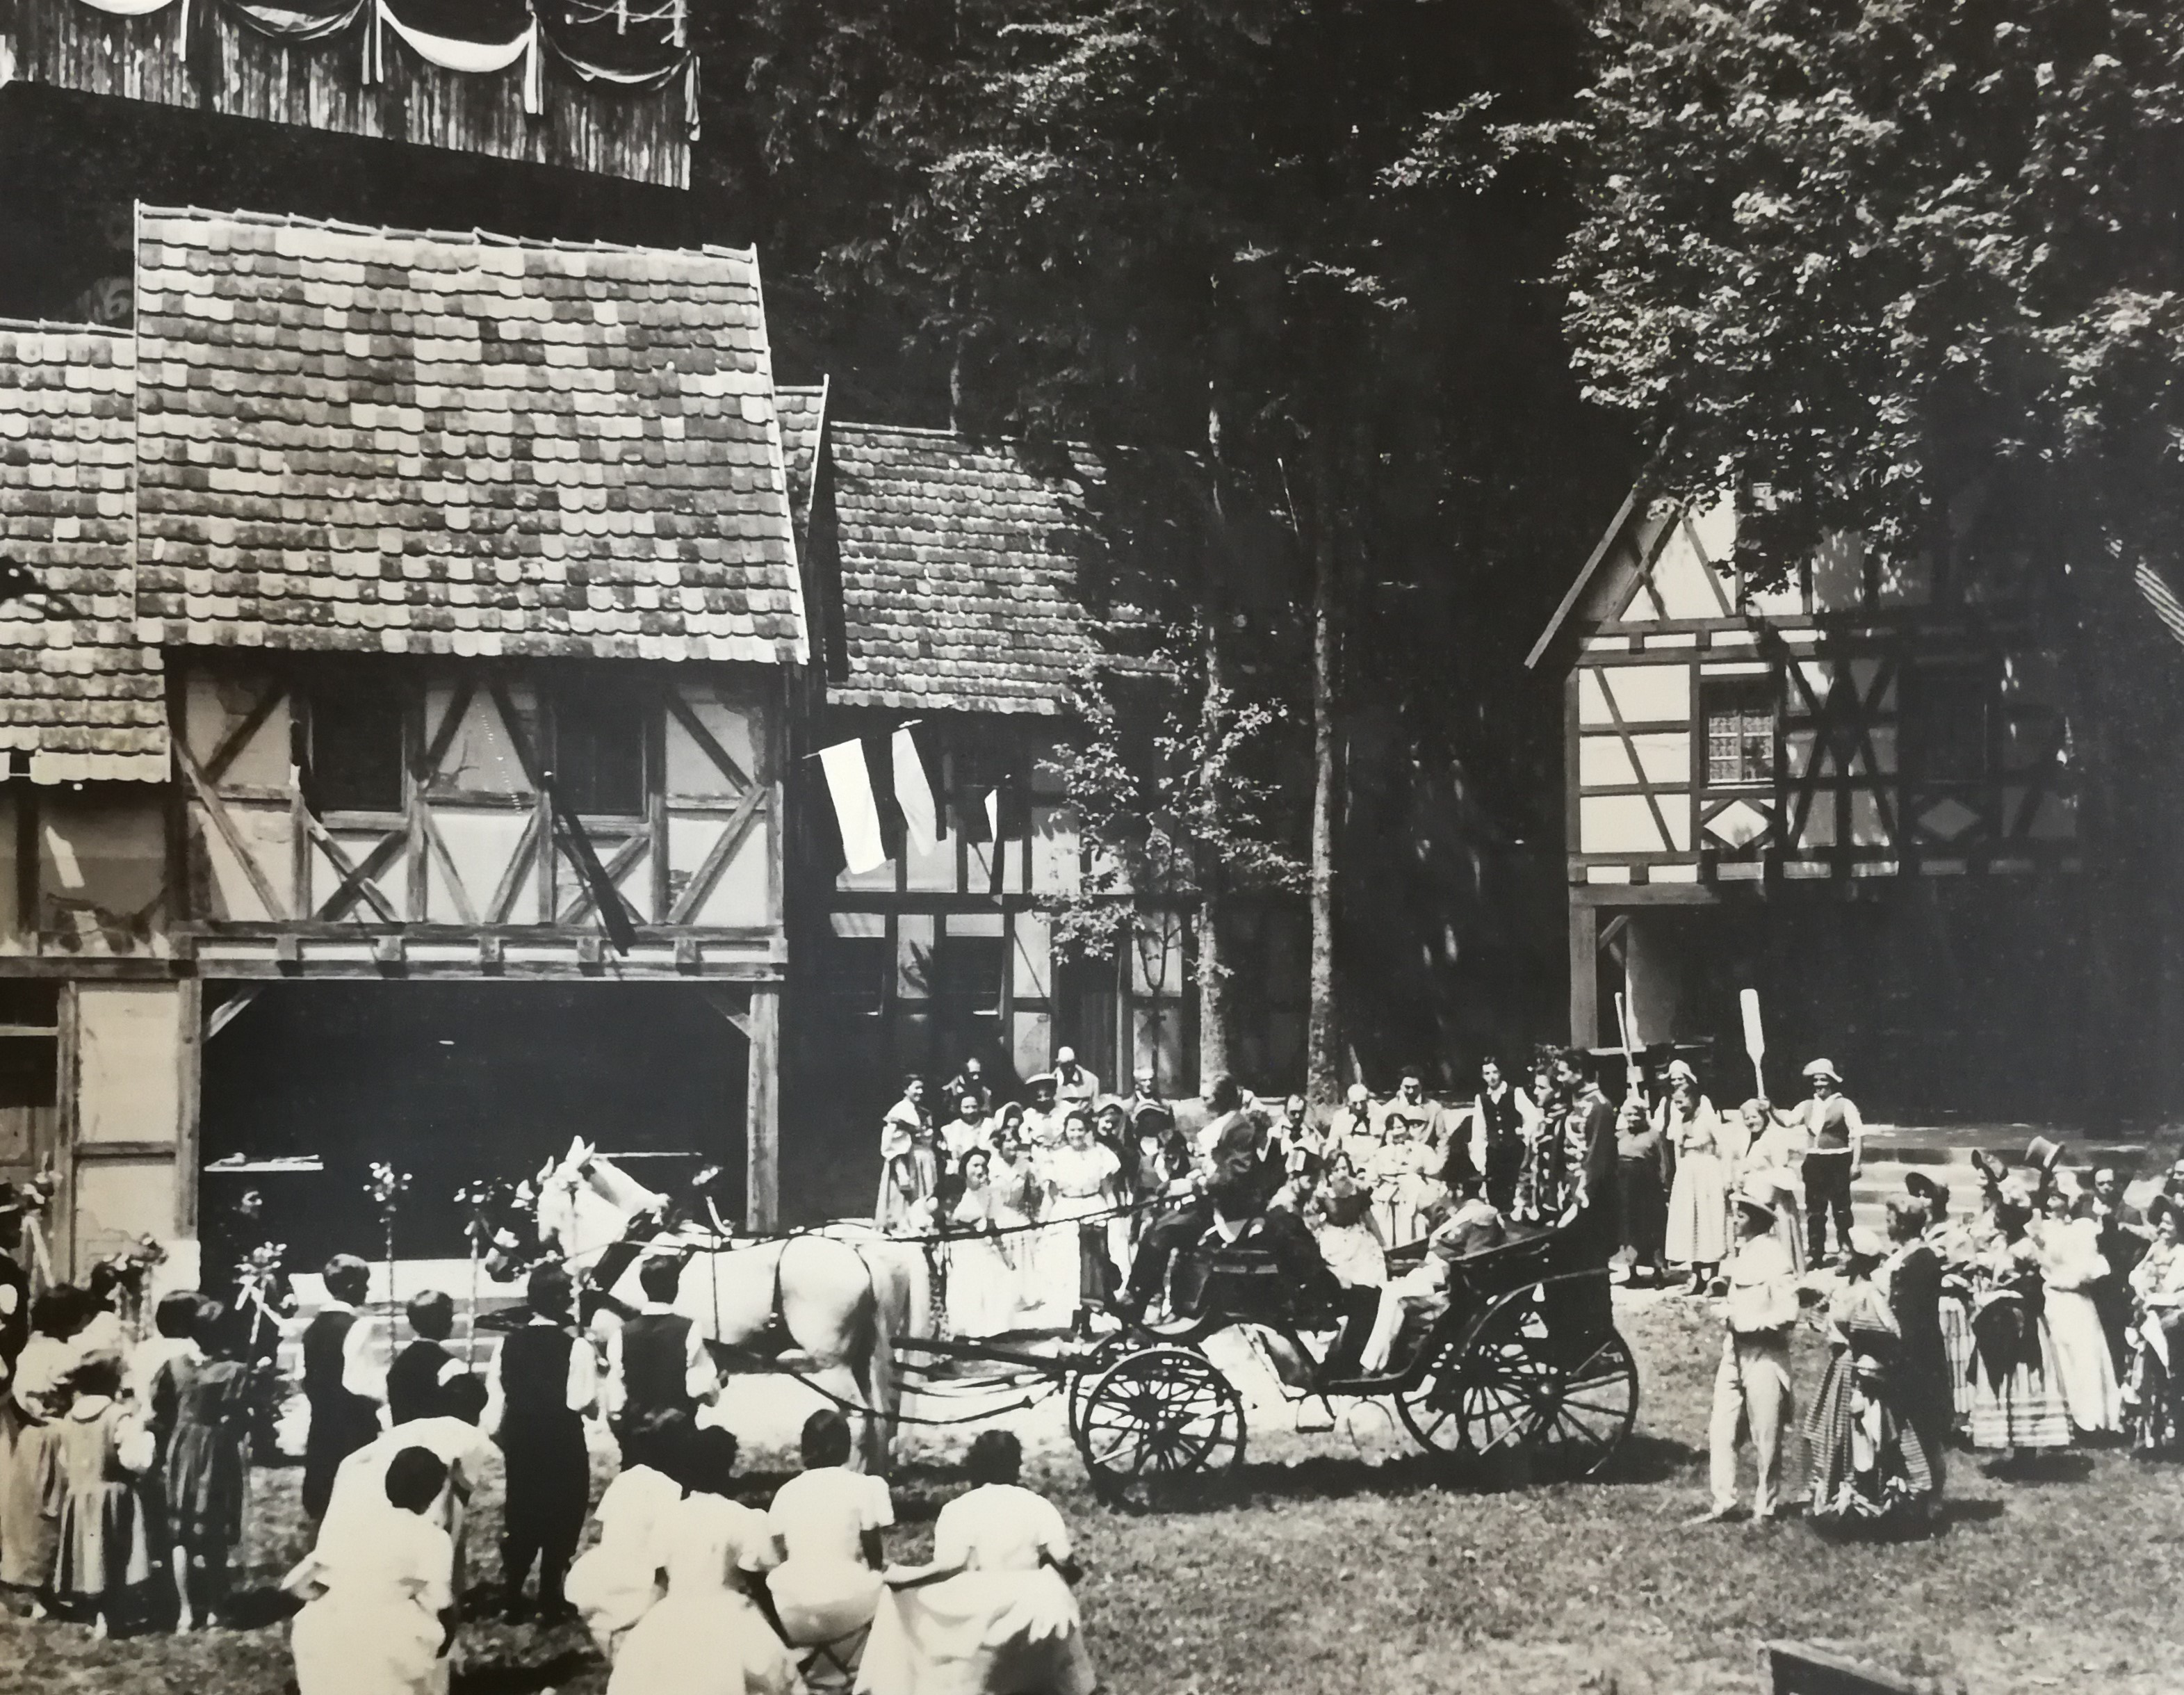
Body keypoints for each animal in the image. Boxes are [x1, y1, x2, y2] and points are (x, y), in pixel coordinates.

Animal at [532, 1135, 934, 1468]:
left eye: (546, 1191)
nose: (540, 1238)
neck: (631, 1248)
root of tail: (860, 1254)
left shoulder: (614, 1351)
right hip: (863, 1356)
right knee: (879, 1416)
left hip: (832, 1364)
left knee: (859, 1420)